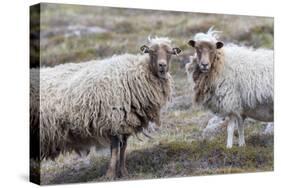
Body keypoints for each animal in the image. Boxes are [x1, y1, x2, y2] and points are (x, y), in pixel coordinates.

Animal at [29, 36, 180, 178]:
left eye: (170, 52)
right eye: (151, 52)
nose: (162, 66)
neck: (137, 72)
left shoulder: (125, 122)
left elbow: (123, 148)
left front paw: (123, 172)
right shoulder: (113, 120)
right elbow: (114, 149)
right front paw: (110, 174)